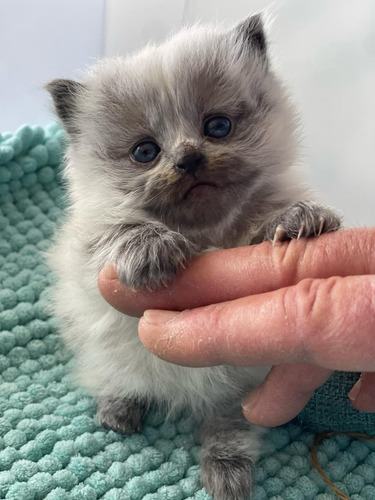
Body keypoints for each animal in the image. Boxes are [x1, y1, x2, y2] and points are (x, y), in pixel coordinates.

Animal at [46, 15, 340, 500]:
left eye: (217, 126)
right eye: (145, 152)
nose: (188, 158)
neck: (205, 233)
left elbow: (271, 215)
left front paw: (300, 218)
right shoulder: (86, 249)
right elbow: (118, 230)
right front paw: (152, 249)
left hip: (236, 391)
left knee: (227, 424)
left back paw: (226, 471)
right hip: (110, 357)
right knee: (120, 379)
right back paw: (119, 411)